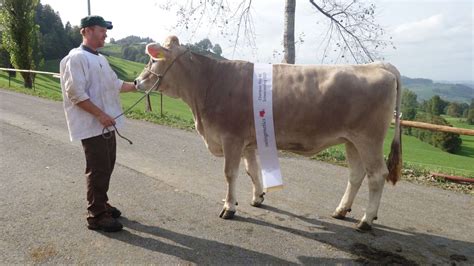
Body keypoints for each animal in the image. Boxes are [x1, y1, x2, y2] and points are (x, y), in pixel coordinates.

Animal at [135, 35, 402, 231]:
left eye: (152, 61)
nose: (137, 81)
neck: (209, 84)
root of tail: (378, 66)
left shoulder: (231, 138)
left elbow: (230, 173)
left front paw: (229, 207)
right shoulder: (247, 142)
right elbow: (251, 170)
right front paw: (258, 198)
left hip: (369, 139)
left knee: (377, 175)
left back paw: (366, 220)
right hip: (351, 141)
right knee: (356, 175)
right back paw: (341, 211)